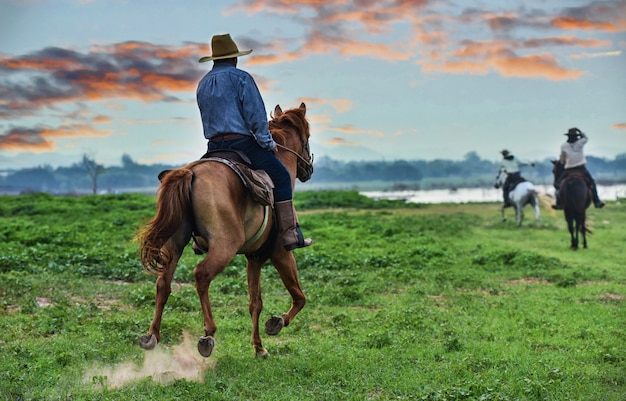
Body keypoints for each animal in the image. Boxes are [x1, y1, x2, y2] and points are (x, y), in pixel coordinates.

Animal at [136, 102, 312, 356]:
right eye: (308, 136)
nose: (309, 169)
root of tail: (190, 172)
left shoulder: (254, 257)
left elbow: (255, 303)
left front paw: (259, 347)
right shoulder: (280, 251)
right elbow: (299, 296)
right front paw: (276, 323)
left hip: (174, 244)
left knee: (163, 284)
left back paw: (152, 335)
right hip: (225, 245)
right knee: (201, 275)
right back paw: (208, 335)